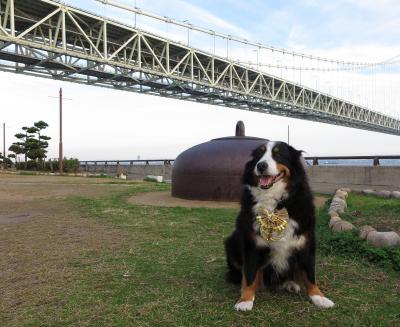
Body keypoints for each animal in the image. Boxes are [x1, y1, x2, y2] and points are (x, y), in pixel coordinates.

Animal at [225, 141, 334, 312]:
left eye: (278, 154)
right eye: (259, 155)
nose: (261, 165)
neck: (275, 203)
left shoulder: (306, 243)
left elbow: (310, 274)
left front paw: (319, 297)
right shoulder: (252, 244)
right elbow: (249, 274)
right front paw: (245, 299)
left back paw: (291, 284)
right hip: (231, 243)